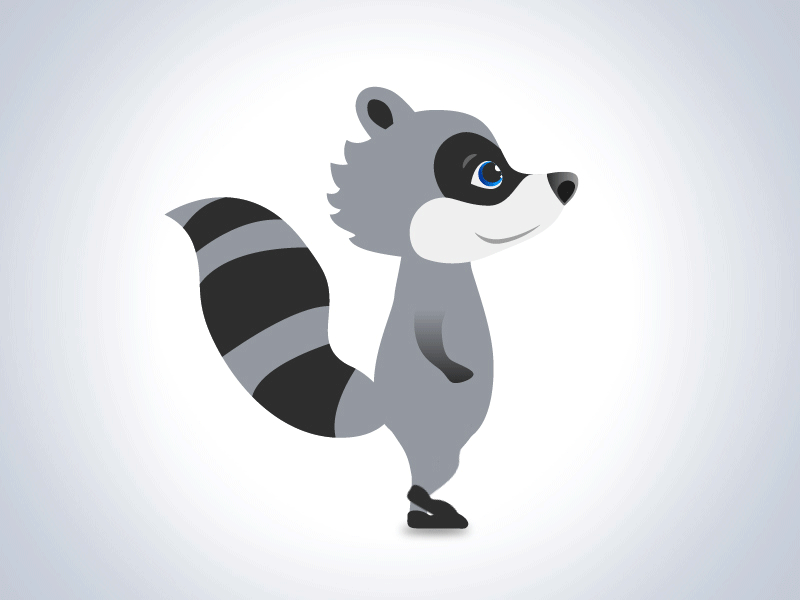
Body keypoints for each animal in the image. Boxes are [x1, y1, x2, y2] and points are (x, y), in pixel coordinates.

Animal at [167, 87, 578, 529]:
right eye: (489, 174)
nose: (567, 182)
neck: (437, 260)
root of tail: (383, 406)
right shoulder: (429, 306)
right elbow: (430, 340)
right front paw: (455, 368)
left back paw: (429, 514)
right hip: (434, 429)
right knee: (423, 478)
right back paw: (428, 512)